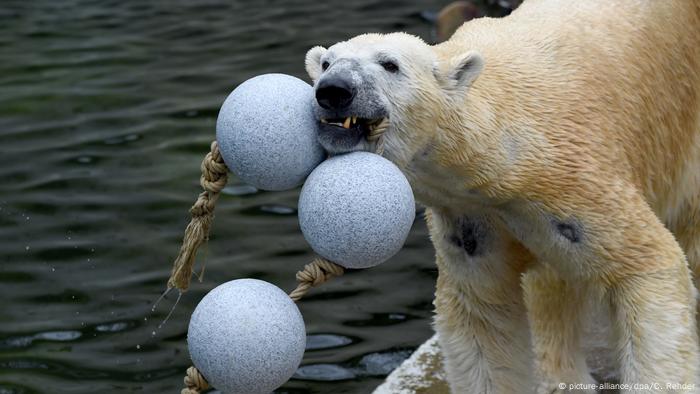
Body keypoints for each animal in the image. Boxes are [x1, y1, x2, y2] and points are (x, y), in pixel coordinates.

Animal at [306, 0, 700, 394]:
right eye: (326, 63)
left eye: (390, 64)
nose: (334, 90)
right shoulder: (470, 221)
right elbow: (483, 319)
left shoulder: (578, 185)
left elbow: (648, 268)